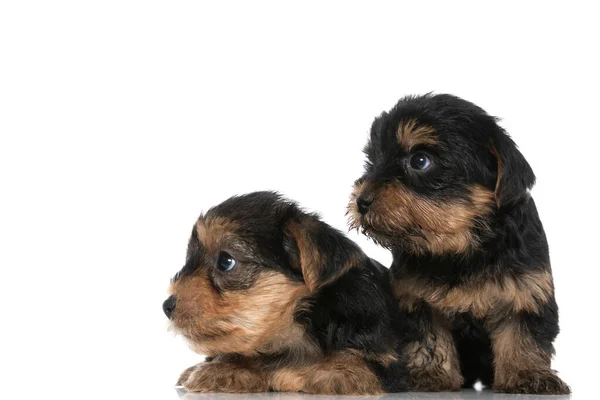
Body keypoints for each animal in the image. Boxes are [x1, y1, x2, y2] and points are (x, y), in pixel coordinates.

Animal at [162, 192, 412, 396]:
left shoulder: (386, 356)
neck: (298, 327)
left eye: (226, 261)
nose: (167, 306)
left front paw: (335, 371)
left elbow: (360, 359)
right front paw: (227, 367)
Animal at [352, 93, 572, 394]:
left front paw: (527, 374)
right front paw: (429, 373)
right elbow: (428, 336)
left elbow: (521, 332)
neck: (461, 245)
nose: (361, 201)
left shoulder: (525, 288)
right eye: (372, 162)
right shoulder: (415, 295)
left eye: (420, 161)